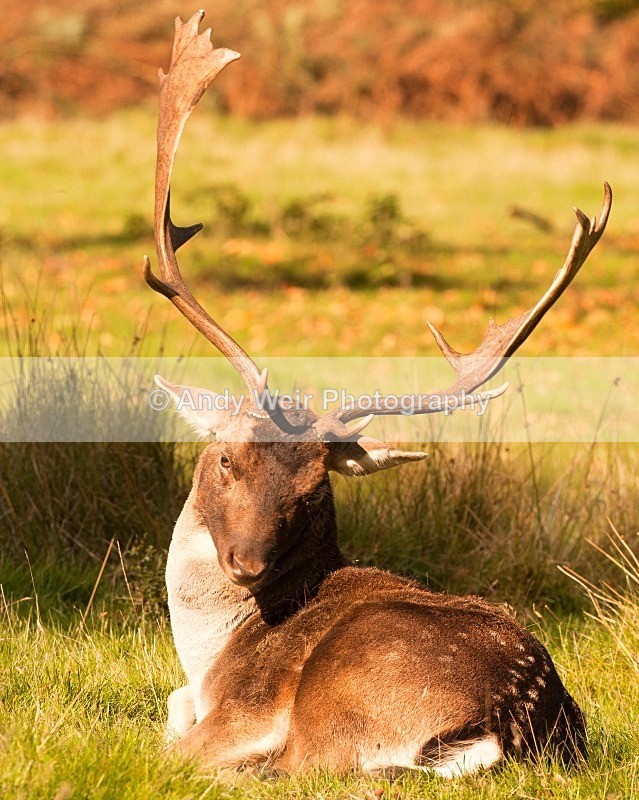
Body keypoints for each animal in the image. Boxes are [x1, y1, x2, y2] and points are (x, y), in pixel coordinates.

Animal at [143, 11, 612, 777]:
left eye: (312, 492)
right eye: (226, 460)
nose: (247, 563)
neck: (206, 656)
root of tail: (509, 721)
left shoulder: (239, 710)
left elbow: (172, 742)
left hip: (339, 701)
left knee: (299, 764)